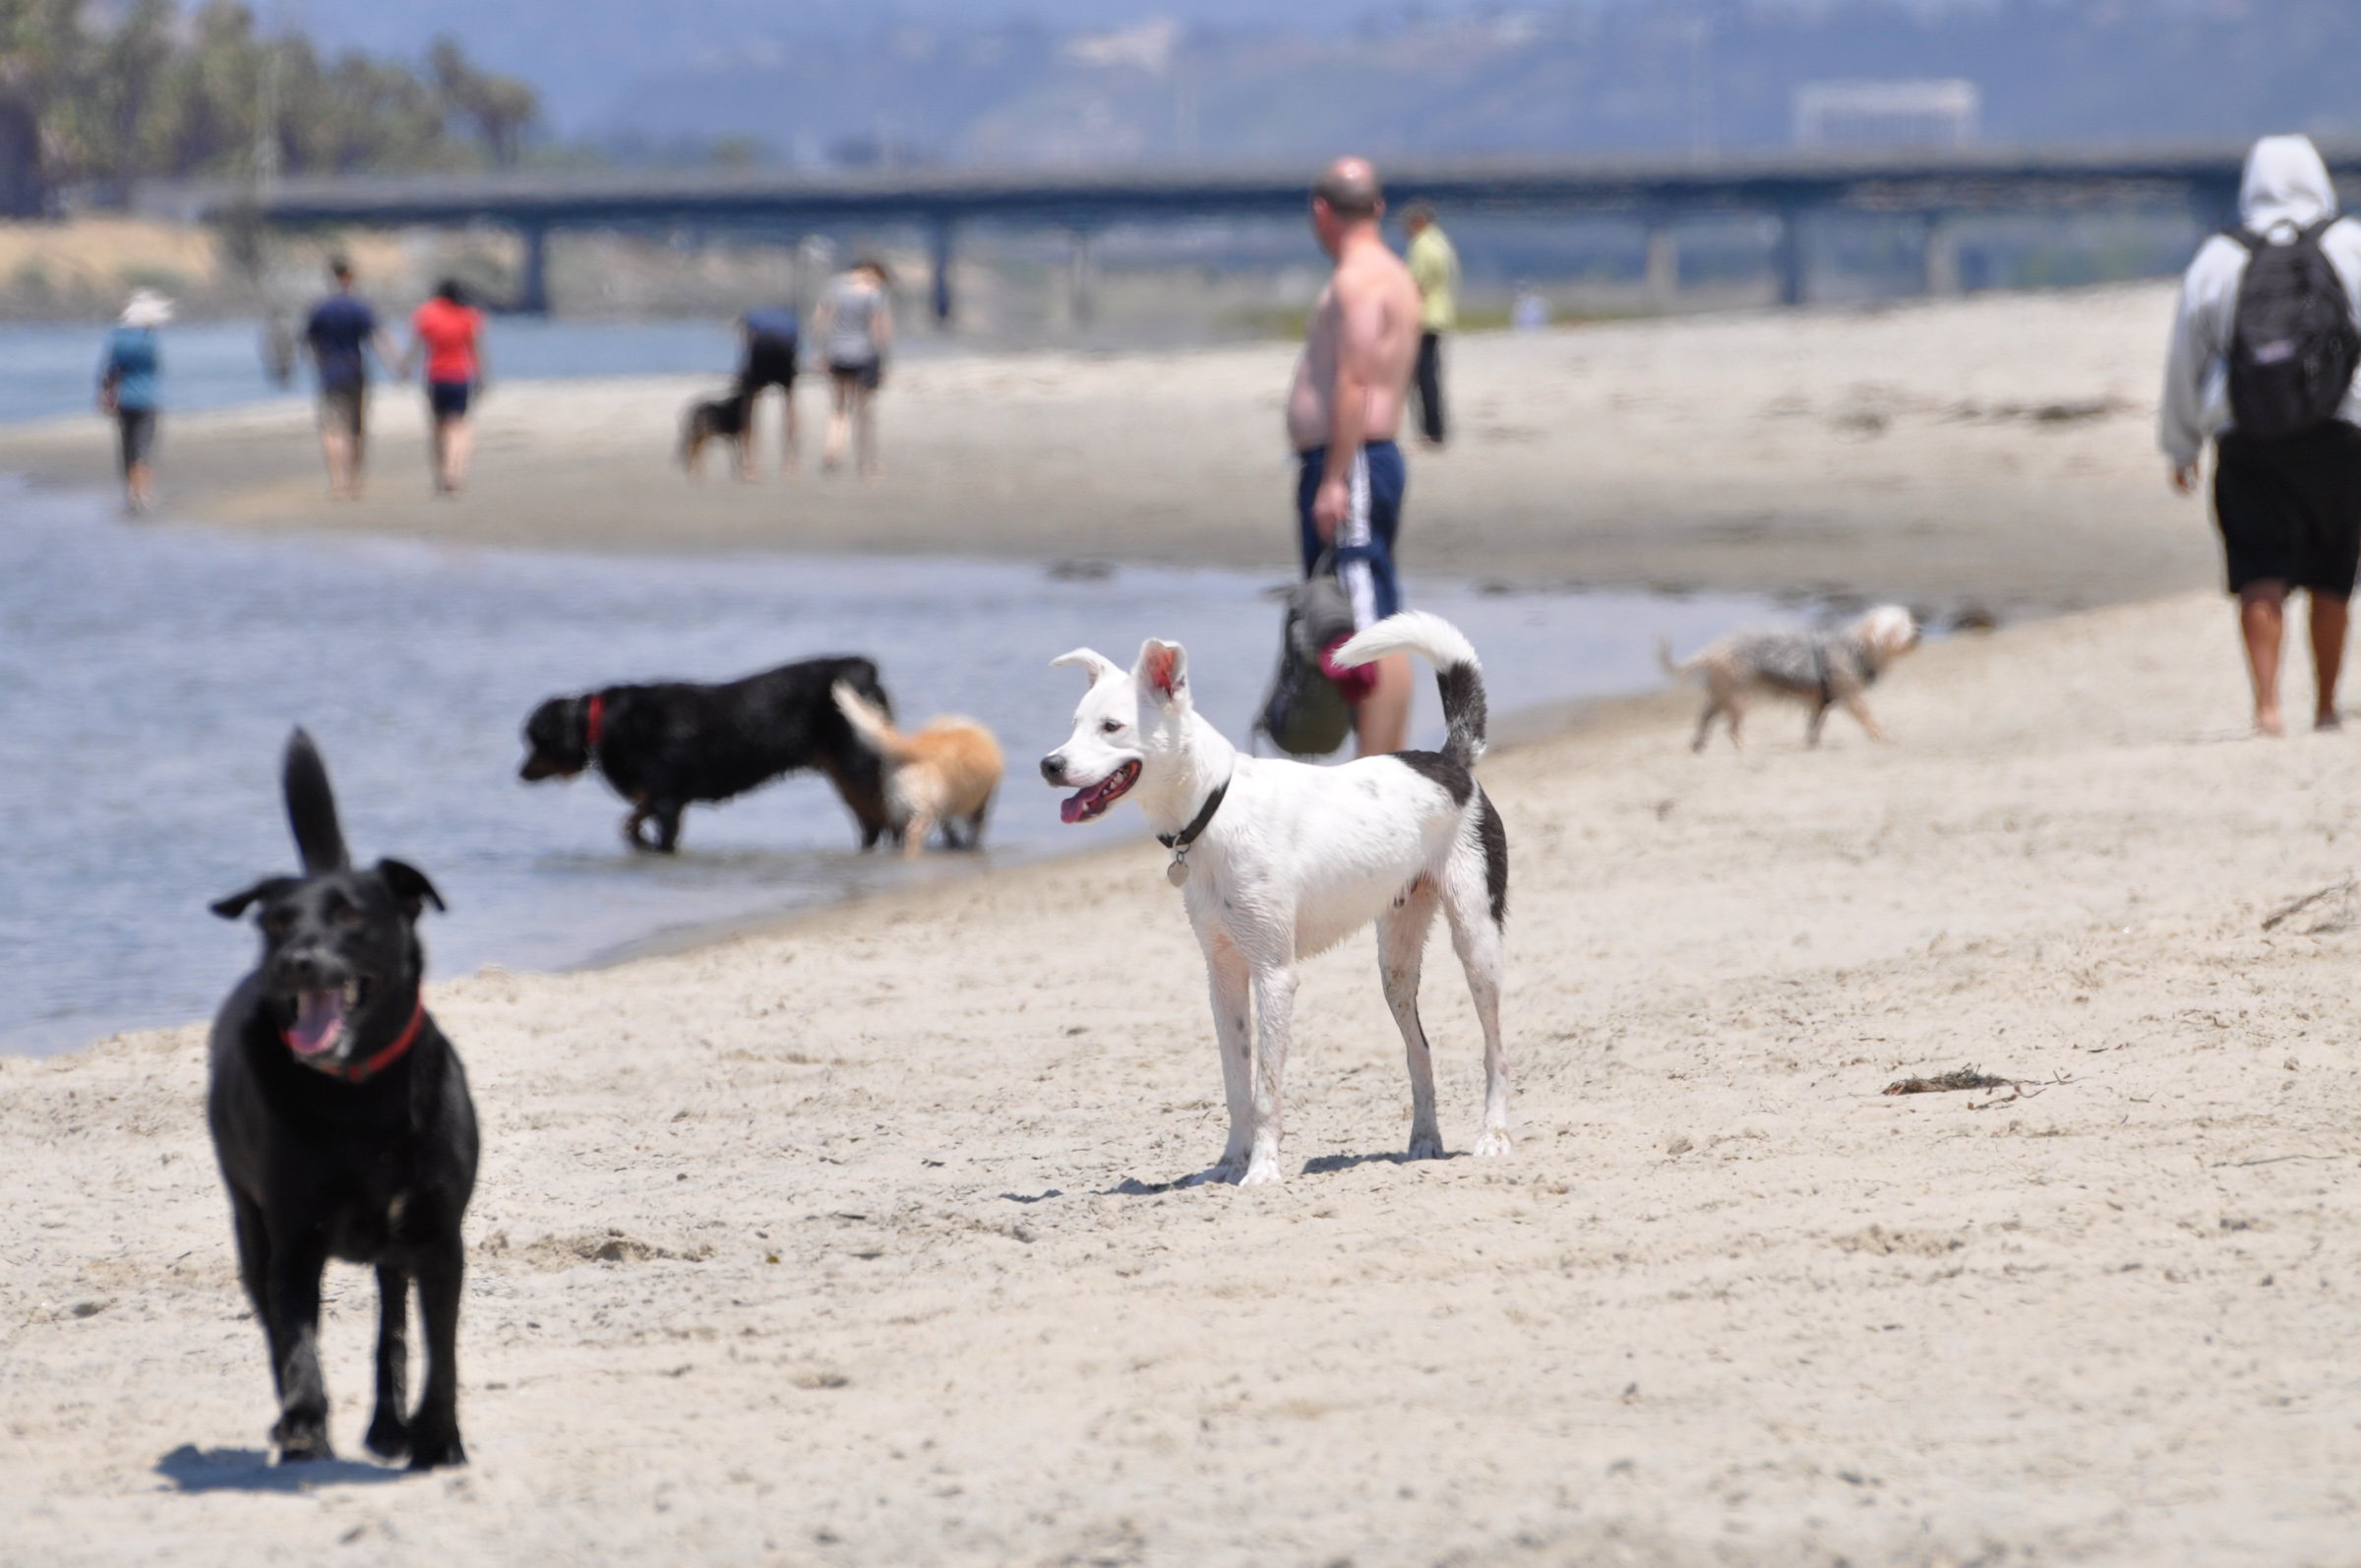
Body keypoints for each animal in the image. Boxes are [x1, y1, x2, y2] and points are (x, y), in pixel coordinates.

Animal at [208, 732, 479, 1473]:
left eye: (351, 916)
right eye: (275, 921)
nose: (293, 960)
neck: (357, 1092)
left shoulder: (439, 1236)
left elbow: (440, 1350)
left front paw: (438, 1440)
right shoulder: (294, 1238)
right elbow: (296, 1341)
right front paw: (304, 1421)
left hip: (394, 1250)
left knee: (393, 1324)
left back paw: (390, 1426)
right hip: (251, 1225)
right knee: (277, 1323)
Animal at [521, 651, 897, 850]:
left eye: (535, 741)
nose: (520, 774)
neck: (606, 725)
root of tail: (864, 670)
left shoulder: (667, 802)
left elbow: (653, 831)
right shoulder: (658, 795)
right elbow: (629, 823)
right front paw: (638, 841)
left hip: (858, 766)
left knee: (887, 816)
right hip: (843, 773)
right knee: (871, 822)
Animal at [835, 685, 1000, 859]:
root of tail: (915, 747)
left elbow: (949, 827)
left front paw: (954, 842)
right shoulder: (982, 802)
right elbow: (975, 828)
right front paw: (969, 844)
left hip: (897, 808)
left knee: (897, 834)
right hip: (924, 810)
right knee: (914, 833)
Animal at [1039, 614, 1511, 1189]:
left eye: (1111, 727)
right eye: (1075, 724)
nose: (1049, 765)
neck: (1214, 808)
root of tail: (1451, 762)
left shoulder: (1274, 975)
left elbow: (1265, 1089)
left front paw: (1262, 1168)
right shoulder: (1222, 976)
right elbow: (1236, 1084)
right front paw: (1229, 1163)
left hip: (1477, 940)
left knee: (1495, 1051)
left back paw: (1493, 1136)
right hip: (1396, 965)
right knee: (1419, 1050)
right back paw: (1424, 1141)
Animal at [1662, 604, 1916, 755]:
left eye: (1909, 621)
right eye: (1898, 627)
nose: (1917, 633)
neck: (1856, 648)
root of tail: (1714, 650)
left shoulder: (1821, 703)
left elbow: (1815, 725)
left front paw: (1813, 744)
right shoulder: (1851, 696)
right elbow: (1867, 717)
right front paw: (1881, 737)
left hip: (1723, 693)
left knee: (1706, 716)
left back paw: (1699, 744)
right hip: (1737, 696)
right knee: (1732, 728)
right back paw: (1745, 747)